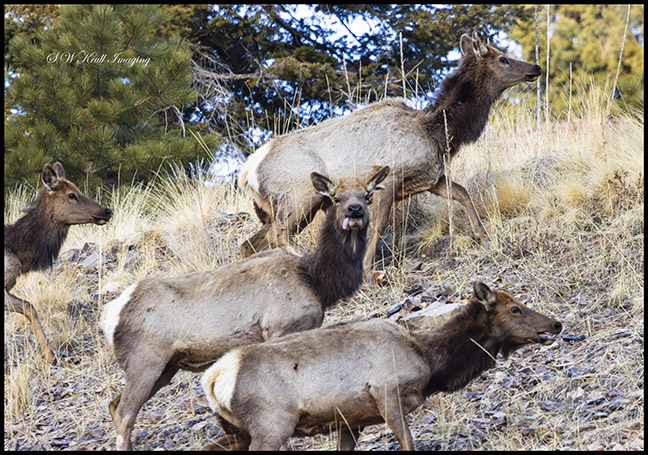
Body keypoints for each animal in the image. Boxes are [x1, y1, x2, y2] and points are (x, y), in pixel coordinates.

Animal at [4, 162, 112, 364]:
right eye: (71, 195)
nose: (107, 211)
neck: (19, 251)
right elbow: (29, 307)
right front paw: (50, 356)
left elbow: (29, 307)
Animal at [100, 166, 389, 450]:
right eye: (336, 198)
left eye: (367, 196)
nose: (354, 210)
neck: (317, 281)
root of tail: (110, 316)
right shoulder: (279, 327)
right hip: (145, 359)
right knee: (125, 412)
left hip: (166, 367)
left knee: (114, 405)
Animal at [201, 282, 562, 451]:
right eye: (515, 309)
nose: (556, 324)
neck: (431, 363)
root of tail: (213, 378)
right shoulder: (387, 393)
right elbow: (408, 442)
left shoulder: (350, 420)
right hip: (271, 425)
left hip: (238, 430)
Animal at [239, 31, 542, 272]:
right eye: (503, 58)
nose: (536, 67)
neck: (439, 133)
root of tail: (247, 173)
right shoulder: (389, 176)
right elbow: (379, 225)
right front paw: (367, 268)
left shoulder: (430, 179)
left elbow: (462, 192)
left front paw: (484, 236)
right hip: (300, 196)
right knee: (277, 236)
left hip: (280, 207)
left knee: (250, 243)